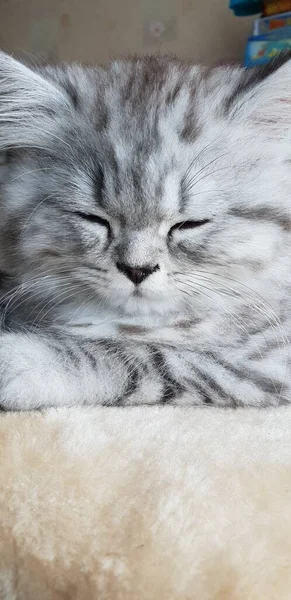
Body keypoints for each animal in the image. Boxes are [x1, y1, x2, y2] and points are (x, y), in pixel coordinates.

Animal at [0, 51, 291, 410]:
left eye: (189, 224)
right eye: (93, 218)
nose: (136, 269)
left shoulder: (262, 366)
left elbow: (137, 354)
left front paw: (19, 358)